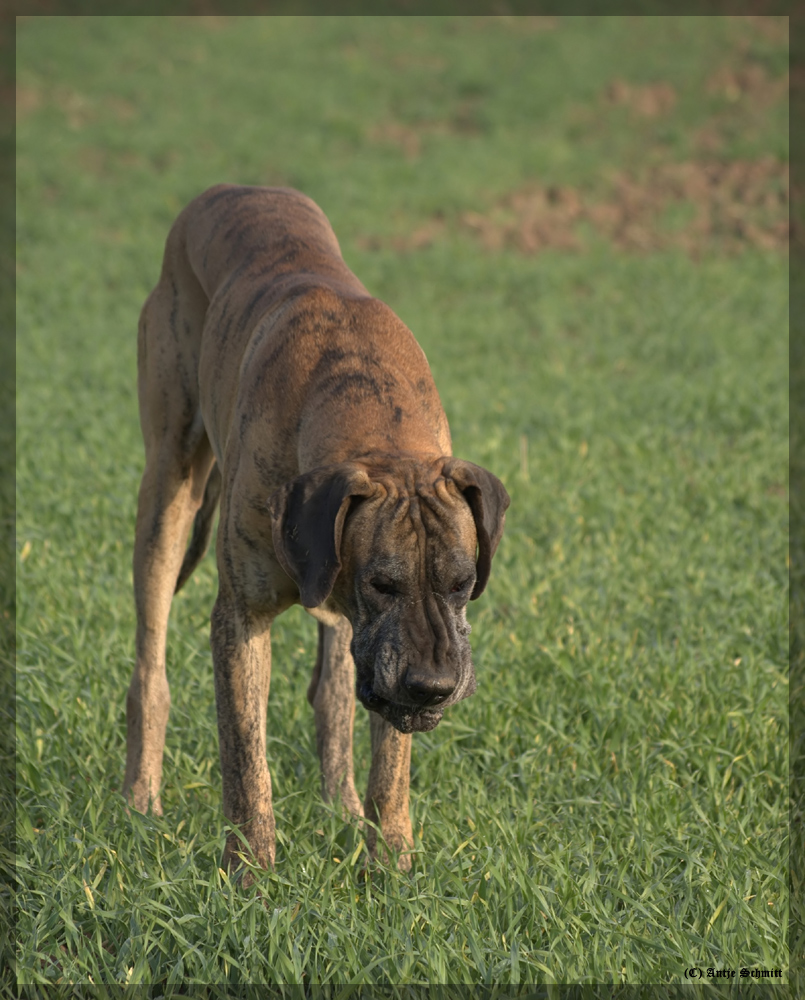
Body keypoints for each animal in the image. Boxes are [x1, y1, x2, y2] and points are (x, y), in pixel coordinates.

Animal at [121, 186, 506, 876]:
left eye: (463, 584)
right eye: (382, 584)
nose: (434, 688)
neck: (369, 420)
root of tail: (228, 189)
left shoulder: (381, 645)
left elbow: (390, 763)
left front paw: (392, 864)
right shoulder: (241, 616)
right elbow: (246, 759)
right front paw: (250, 875)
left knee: (333, 690)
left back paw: (341, 805)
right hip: (166, 490)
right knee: (150, 666)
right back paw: (140, 797)